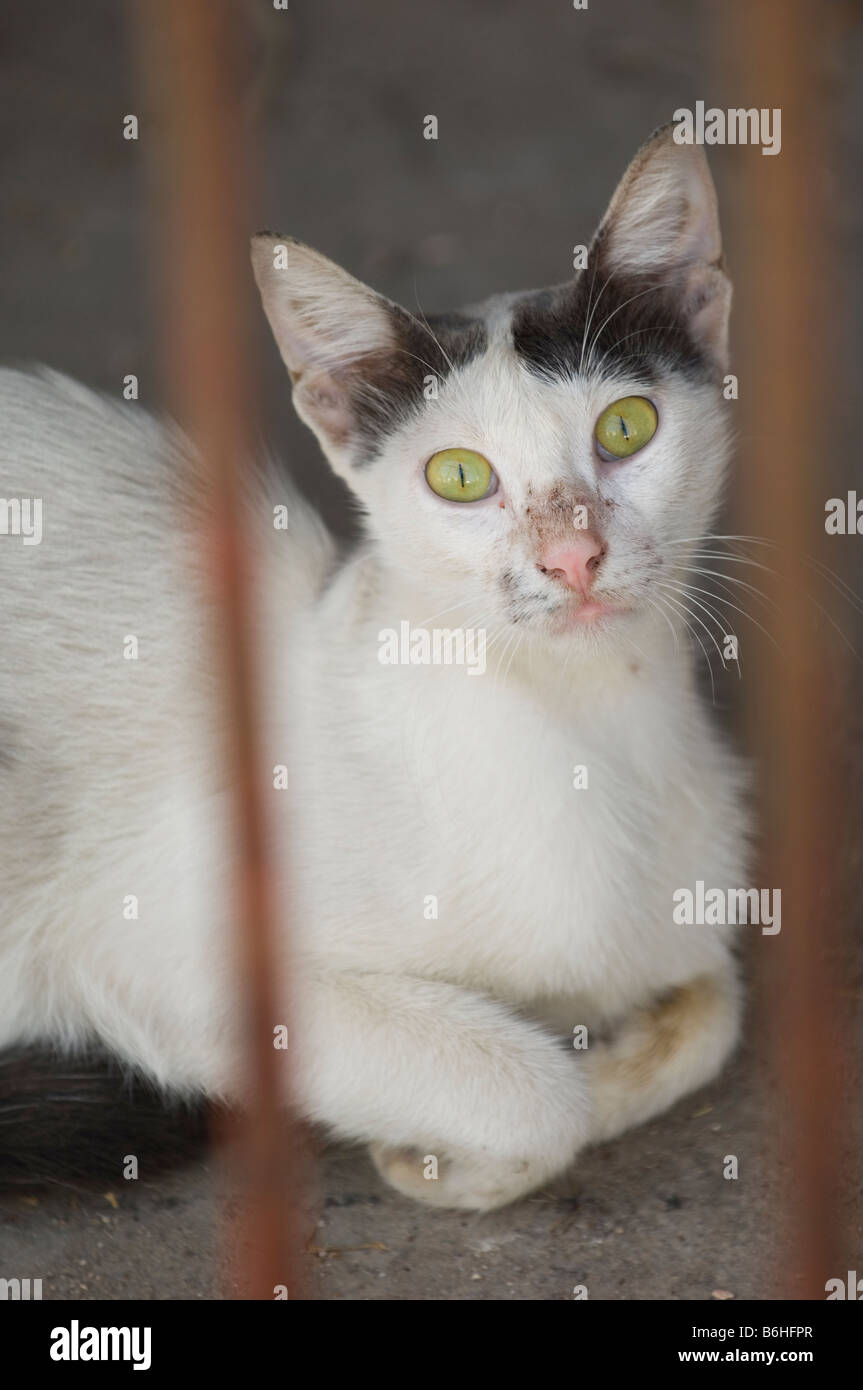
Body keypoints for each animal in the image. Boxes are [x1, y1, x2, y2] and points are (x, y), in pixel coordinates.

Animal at [0, 125, 744, 1212]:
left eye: (625, 428)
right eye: (460, 477)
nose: (572, 556)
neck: (587, 728)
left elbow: (714, 1003)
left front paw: (617, 1051)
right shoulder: (155, 950)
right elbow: (532, 1089)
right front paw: (440, 1157)